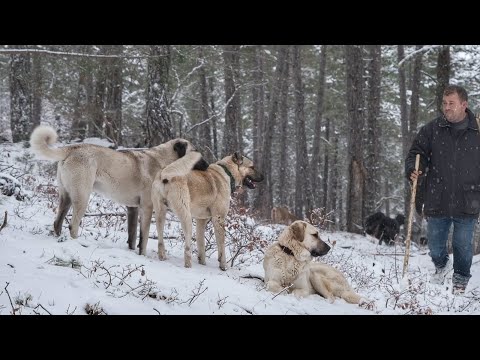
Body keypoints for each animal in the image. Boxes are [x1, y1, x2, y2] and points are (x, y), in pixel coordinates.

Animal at [29, 125, 207, 255]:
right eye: (195, 153)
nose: (207, 165)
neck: (164, 162)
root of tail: (73, 148)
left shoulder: (132, 209)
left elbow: (132, 237)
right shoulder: (147, 208)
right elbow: (143, 238)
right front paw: (142, 255)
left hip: (65, 197)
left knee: (57, 222)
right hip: (82, 197)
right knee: (72, 225)